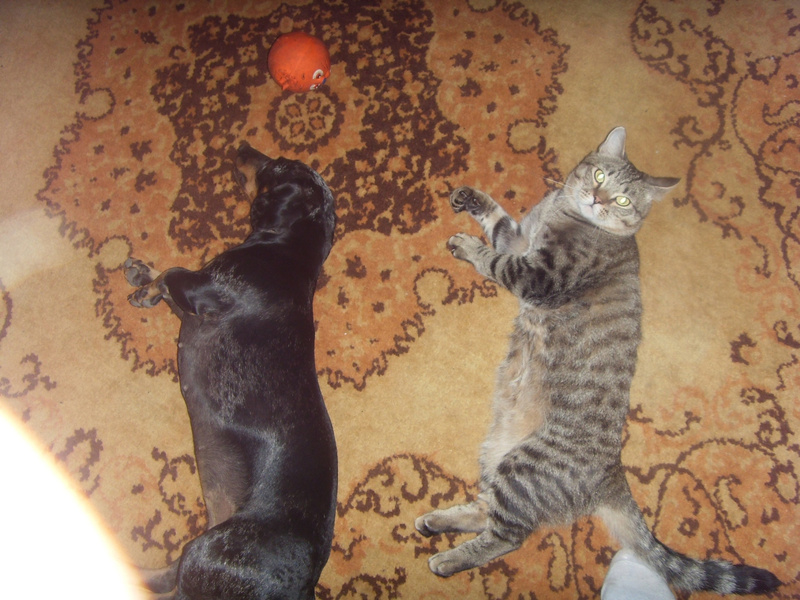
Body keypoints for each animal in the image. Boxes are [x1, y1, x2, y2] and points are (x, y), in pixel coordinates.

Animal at [124, 142, 337, 599]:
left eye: (278, 165)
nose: (241, 146)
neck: (287, 252)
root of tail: (303, 585)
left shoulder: (200, 292)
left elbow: (170, 273)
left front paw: (146, 288)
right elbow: (163, 274)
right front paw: (141, 273)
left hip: (203, 553)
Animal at [415, 127, 781, 595]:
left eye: (623, 200)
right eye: (600, 175)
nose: (598, 198)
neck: (564, 210)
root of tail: (612, 473)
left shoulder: (536, 274)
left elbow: (493, 258)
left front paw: (470, 246)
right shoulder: (520, 238)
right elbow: (499, 220)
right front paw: (470, 203)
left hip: (523, 469)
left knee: (507, 537)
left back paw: (446, 559)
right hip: (495, 455)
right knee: (485, 511)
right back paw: (436, 521)